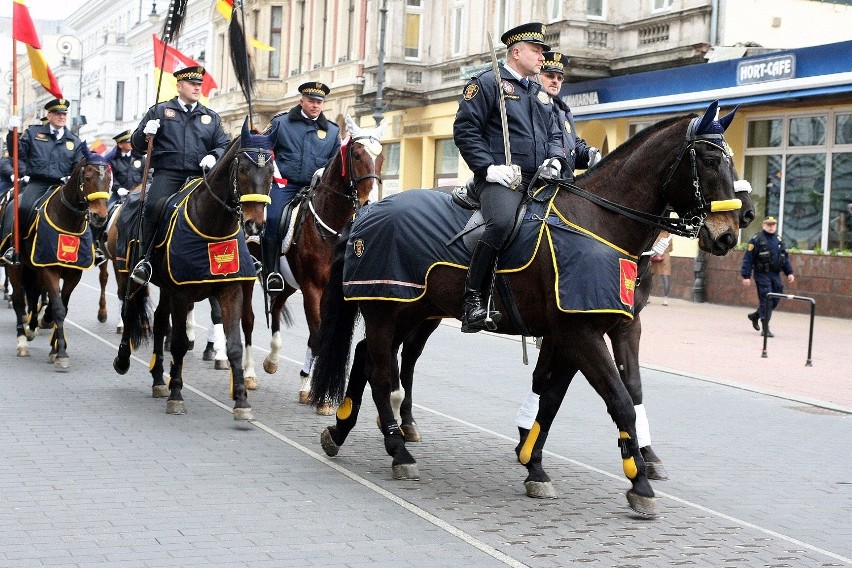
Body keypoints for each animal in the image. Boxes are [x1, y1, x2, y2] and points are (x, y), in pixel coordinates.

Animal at [5, 152, 111, 368]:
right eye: (88, 178)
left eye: (109, 180)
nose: (100, 216)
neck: (68, 220)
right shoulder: (49, 269)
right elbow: (58, 308)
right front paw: (61, 352)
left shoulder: (73, 274)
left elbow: (61, 306)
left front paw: (55, 347)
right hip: (16, 268)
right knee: (19, 298)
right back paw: (22, 340)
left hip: (34, 269)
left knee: (34, 295)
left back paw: (33, 327)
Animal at [255, 115, 384, 408]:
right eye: (357, 155)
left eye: (381, 157)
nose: (370, 202)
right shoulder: (313, 288)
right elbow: (317, 334)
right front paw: (311, 388)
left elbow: (322, 335)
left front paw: (313, 388)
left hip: (287, 283)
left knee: (276, 308)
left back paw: (272, 360)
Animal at [310, 100, 744, 516]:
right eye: (709, 160)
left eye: (731, 160)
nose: (727, 235)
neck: (598, 223)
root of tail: (365, 214)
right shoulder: (581, 334)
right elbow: (620, 400)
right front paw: (639, 483)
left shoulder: (582, 331)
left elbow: (553, 399)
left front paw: (534, 465)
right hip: (386, 308)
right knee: (382, 373)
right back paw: (398, 450)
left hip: (408, 310)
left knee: (366, 359)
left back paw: (342, 431)